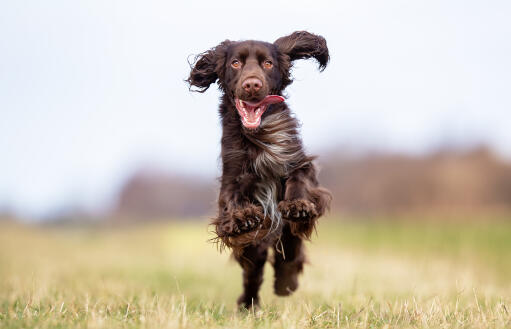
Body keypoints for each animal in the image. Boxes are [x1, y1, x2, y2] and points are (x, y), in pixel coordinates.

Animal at [187, 31, 332, 308]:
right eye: (235, 63)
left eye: (268, 63)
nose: (252, 85)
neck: (259, 135)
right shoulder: (232, 177)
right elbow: (231, 201)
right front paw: (242, 218)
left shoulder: (298, 160)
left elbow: (300, 181)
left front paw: (298, 205)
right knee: (253, 272)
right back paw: (248, 304)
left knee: (290, 248)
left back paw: (286, 283)